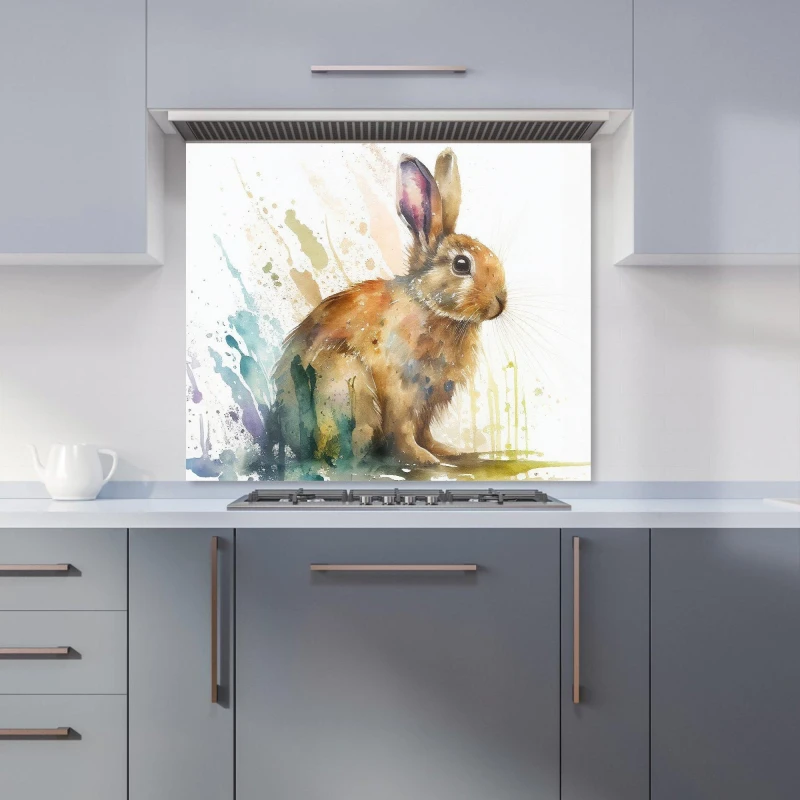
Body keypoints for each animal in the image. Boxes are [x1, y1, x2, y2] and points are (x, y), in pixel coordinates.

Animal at [272, 147, 507, 467]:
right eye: (461, 264)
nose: (501, 302)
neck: (429, 305)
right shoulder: (401, 392)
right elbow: (404, 430)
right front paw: (423, 458)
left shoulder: (429, 401)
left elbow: (424, 431)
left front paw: (445, 451)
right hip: (345, 380)